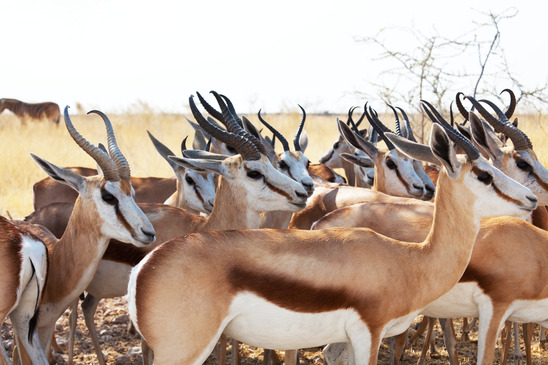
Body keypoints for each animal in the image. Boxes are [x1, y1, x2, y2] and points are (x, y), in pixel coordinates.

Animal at [124, 98, 536, 362]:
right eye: (483, 174)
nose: (532, 199)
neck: (409, 260)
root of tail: (144, 268)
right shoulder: (368, 335)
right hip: (182, 352)